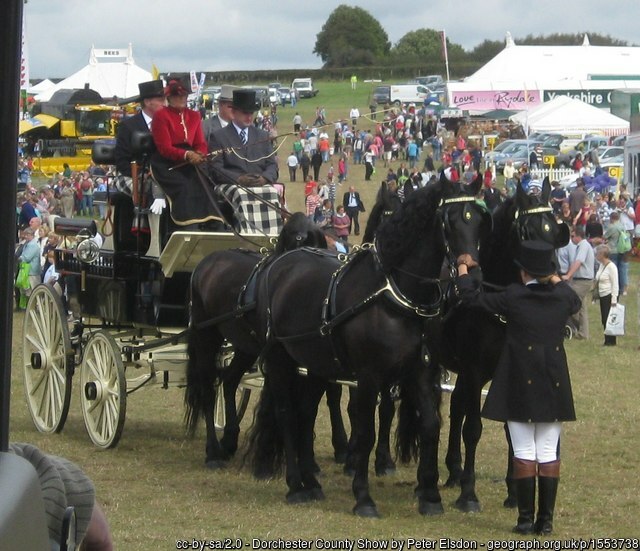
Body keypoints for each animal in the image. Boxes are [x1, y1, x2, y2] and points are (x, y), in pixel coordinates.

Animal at [182, 213, 336, 468]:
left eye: (316, 241)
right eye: (294, 240)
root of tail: (206, 262)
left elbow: (308, 406)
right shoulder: (276, 357)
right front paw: (268, 455)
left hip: (245, 347)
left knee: (229, 380)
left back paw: (229, 440)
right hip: (206, 336)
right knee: (208, 390)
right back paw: (213, 452)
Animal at [248, 177, 492, 516]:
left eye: (480, 221)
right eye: (449, 222)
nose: (474, 280)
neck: (396, 294)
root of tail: (278, 262)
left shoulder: (419, 372)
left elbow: (430, 425)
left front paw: (430, 496)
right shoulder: (368, 376)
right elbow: (365, 431)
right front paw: (363, 497)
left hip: (316, 364)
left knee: (306, 413)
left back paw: (311, 481)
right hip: (278, 359)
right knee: (286, 413)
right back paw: (296, 485)